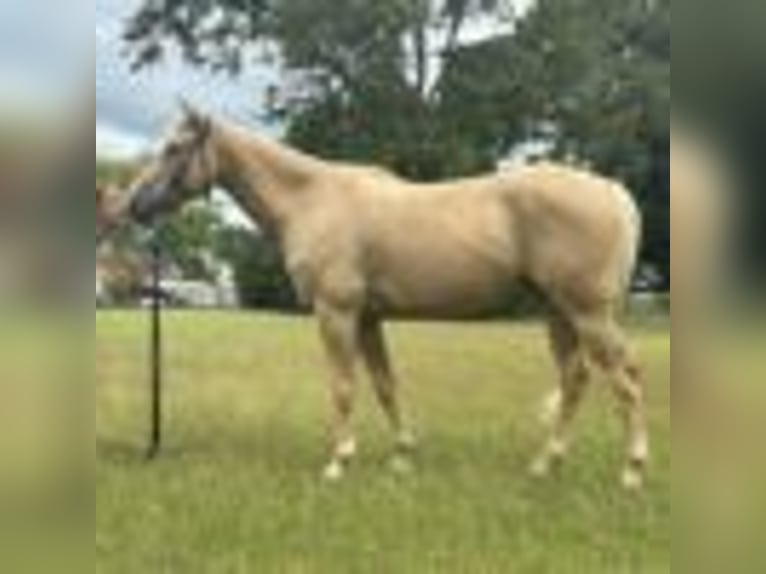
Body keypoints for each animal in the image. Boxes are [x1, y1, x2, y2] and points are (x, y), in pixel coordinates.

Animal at [123, 105, 647, 489]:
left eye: (174, 148)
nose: (134, 205)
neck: (310, 198)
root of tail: (613, 191)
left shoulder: (336, 313)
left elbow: (343, 386)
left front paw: (338, 461)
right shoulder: (368, 318)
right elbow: (384, 385)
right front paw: (401, 457)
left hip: (587, 313)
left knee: (625, 383)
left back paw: (631, 472)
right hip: (559, 313)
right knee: (577, 379)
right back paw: (544, 465)